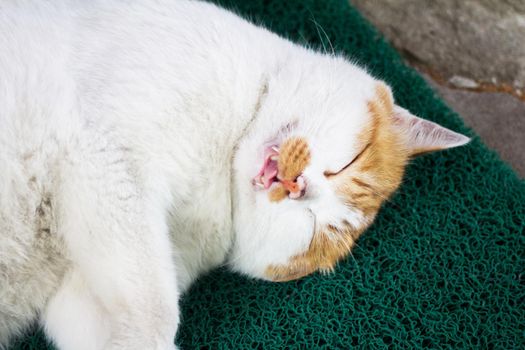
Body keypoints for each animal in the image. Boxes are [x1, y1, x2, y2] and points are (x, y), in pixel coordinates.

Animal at [0, 0, 466, 350]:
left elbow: (134, 309)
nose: (298, 187)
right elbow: (157, 313)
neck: (223, 160)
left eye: (314, 230)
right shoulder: (107, 155)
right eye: (350, 162)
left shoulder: (87, 286)